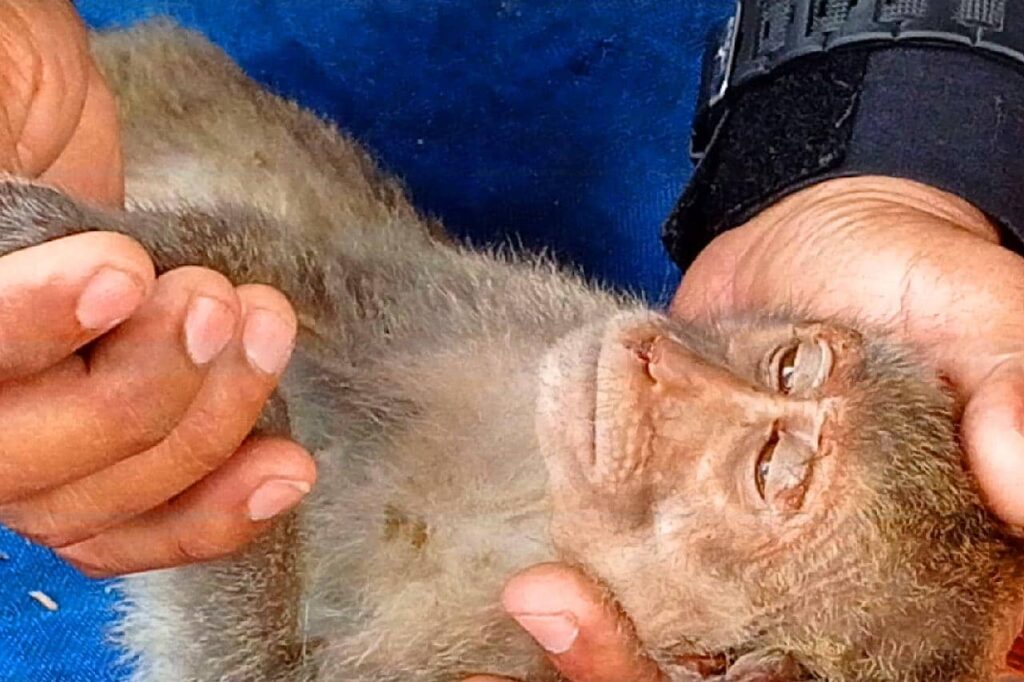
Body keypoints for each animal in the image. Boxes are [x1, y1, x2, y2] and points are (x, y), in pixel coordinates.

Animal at [2, 21, 1022, 681]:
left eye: (773, 468)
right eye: (793, 366)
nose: (661, 361)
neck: (534, 505)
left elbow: (250, 671)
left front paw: (243, 424)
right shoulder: (521, 315)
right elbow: (314, 278)